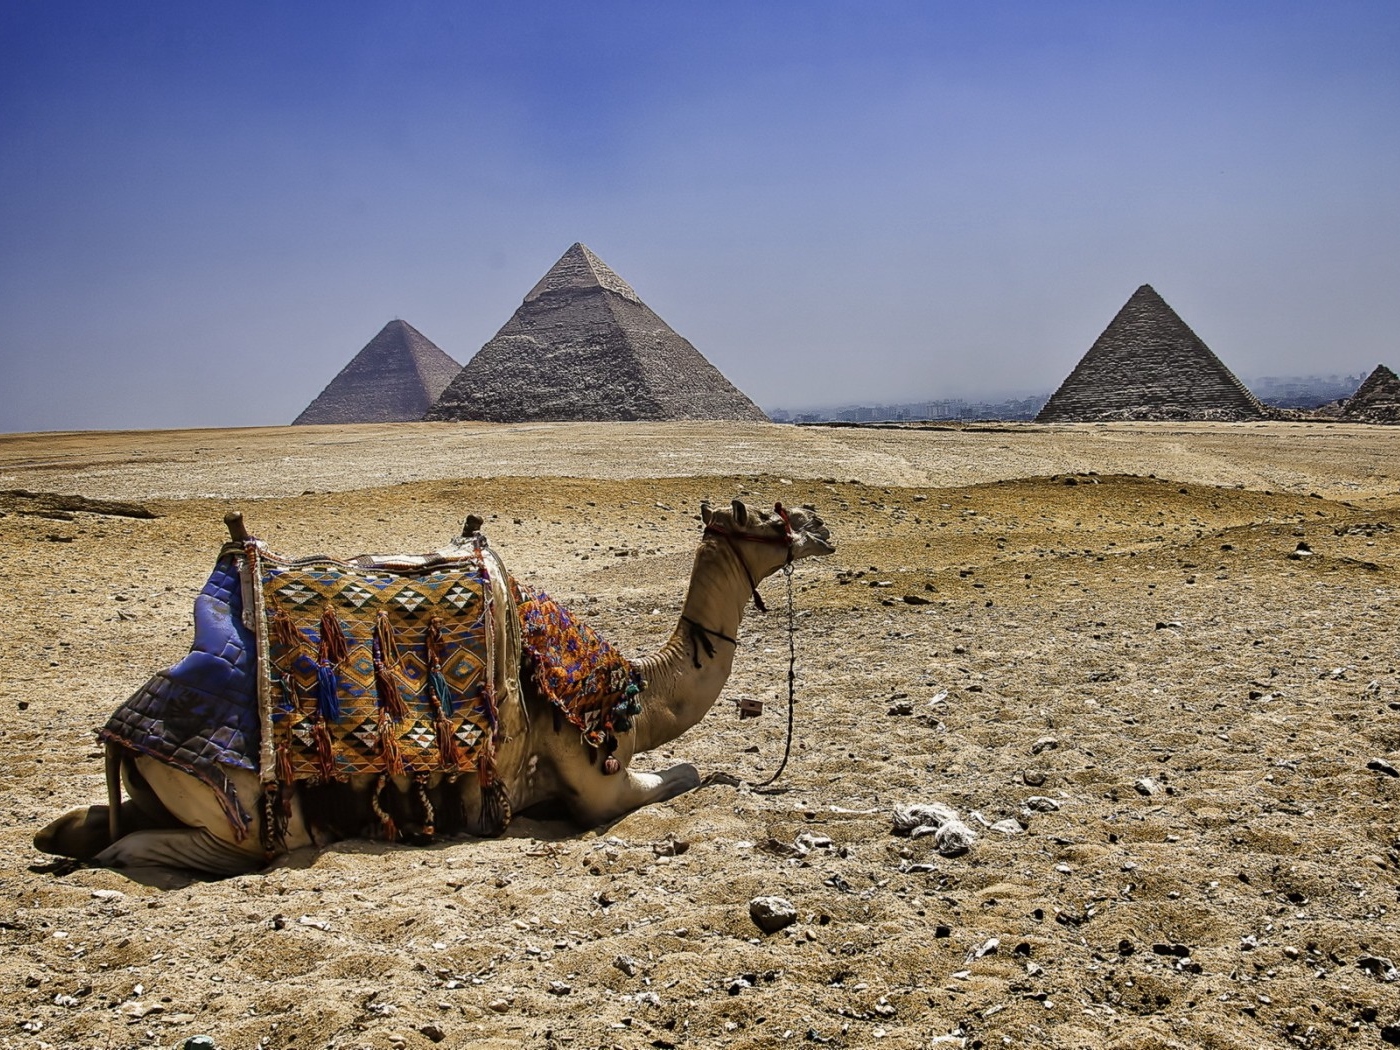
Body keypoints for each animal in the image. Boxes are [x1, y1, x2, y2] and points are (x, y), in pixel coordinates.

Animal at [35, 498, 834, 876]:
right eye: (773, 518)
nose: (823, 528)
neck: (635, 690)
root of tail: (123, 735)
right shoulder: (594, 780)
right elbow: (686, 772)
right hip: (251, 814)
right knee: (178, 848)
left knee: (89, 822)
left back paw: (61, 833)